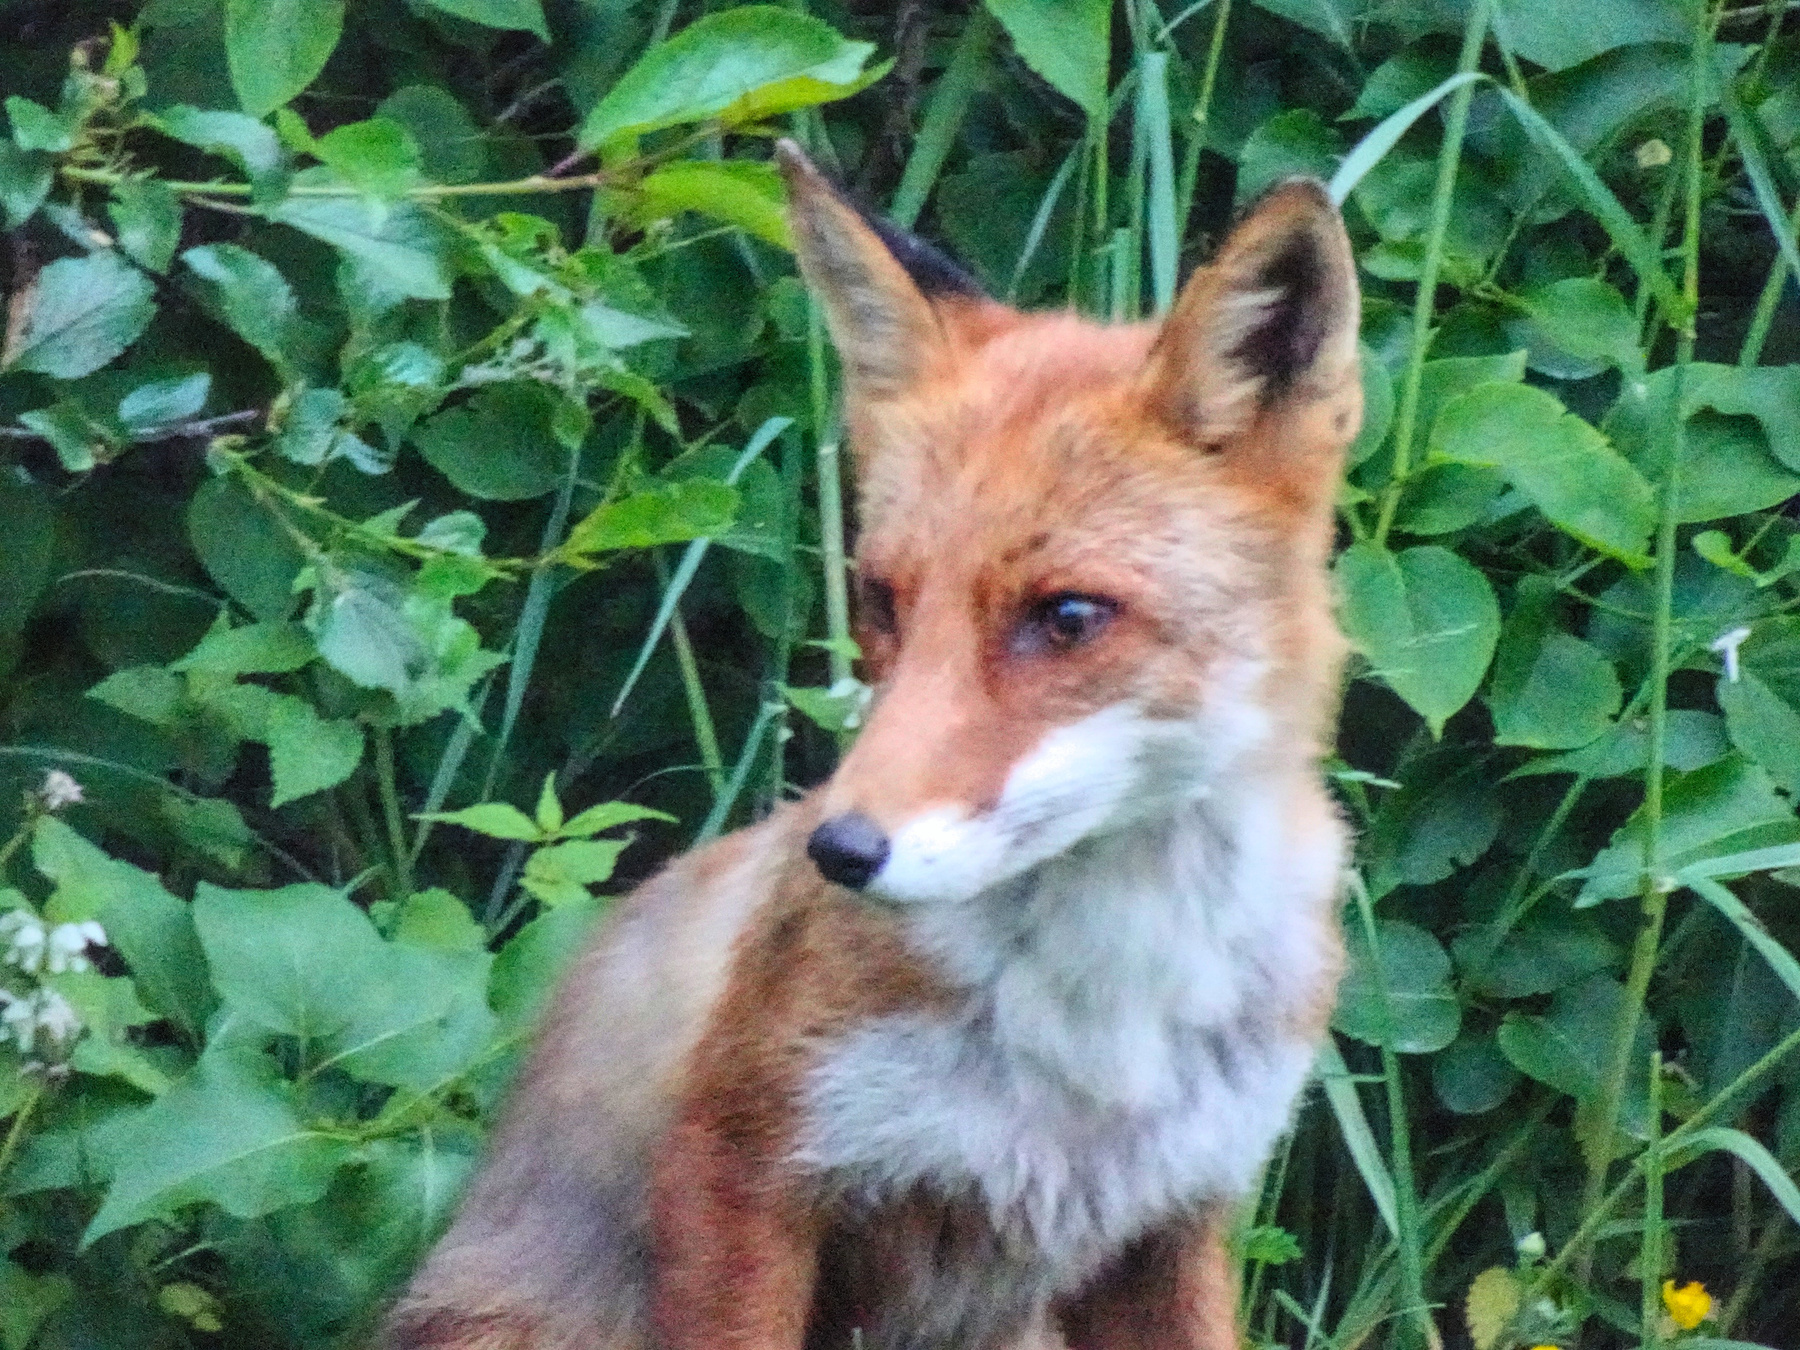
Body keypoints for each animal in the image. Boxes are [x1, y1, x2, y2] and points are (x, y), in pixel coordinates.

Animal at [384, 140, 1362, 1350]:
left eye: (1068, 617)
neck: (1099, 1034)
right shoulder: (742, 1165)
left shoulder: (1171, 1218)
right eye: (882, 600)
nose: (840, 854)